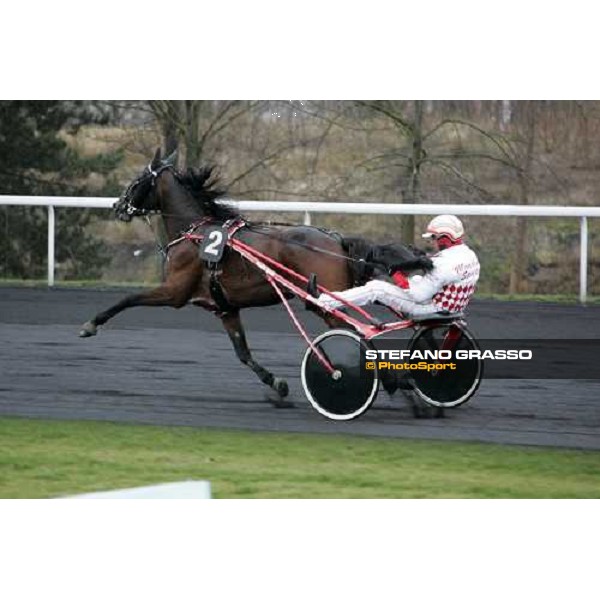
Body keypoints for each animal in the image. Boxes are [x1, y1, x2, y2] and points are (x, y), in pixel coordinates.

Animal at [79, 148, 434, 406]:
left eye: (138, 179)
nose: (118, 205)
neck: (195, 233)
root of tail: (336, 240)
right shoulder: (224, 308)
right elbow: (243, 353)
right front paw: (276, 384)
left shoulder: (174, 292)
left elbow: (128, 299)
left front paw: (91, 324)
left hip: (322, 301)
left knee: (359, 334)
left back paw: (390, 381)